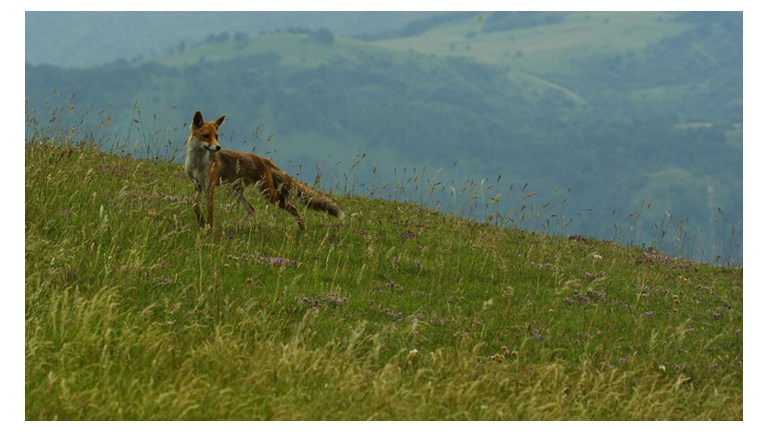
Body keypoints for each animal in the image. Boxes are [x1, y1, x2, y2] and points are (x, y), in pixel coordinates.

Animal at [184, 111, 344, 230]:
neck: (197, 163)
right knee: (251, 209)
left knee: (291, 207)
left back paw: (302, 229)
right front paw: (201, 221)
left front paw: (209, 229)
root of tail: (264, 159)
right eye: (206, 136)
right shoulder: (198, 185)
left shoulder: (210, 186)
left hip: (269, 194)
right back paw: (238, 227)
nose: (218, 147)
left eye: (216, 137)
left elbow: (210, 212)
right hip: (237, 192)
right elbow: (195, 205)